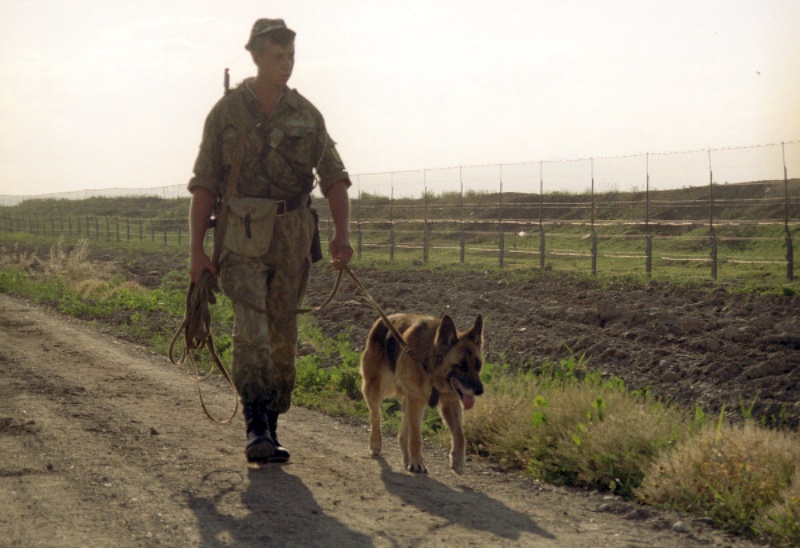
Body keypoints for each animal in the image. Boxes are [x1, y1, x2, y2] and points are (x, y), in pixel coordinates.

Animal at [360, 314, 484, 474]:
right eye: (461, 365)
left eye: (478, 365)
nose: (480, 391)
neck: (429, 365)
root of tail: (384, 319)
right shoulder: (416, 400)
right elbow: (416, 437)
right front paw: (417, 463)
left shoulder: (450, 403)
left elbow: (460, 435)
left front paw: (458, 462)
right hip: (376, 389)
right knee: (376, 416)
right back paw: (375, 444)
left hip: (409, 401)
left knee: (402, 434)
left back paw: (407, 458)